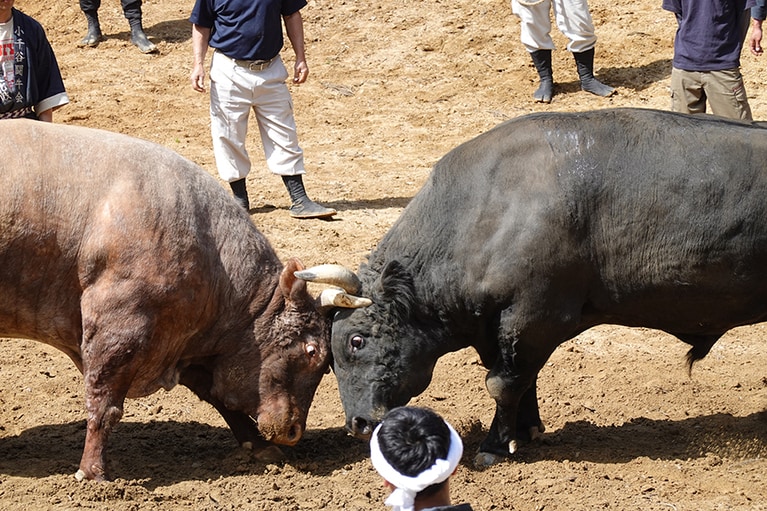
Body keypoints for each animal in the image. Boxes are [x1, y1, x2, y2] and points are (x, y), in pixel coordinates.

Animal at [304, 107, 767, 464]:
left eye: (356, 341)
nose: (357, 424)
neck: (487, 210)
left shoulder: (536, 316)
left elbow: (502, 383)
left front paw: (493, 446)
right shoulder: (504, 328)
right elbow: (519, 381)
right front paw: (524, 431)